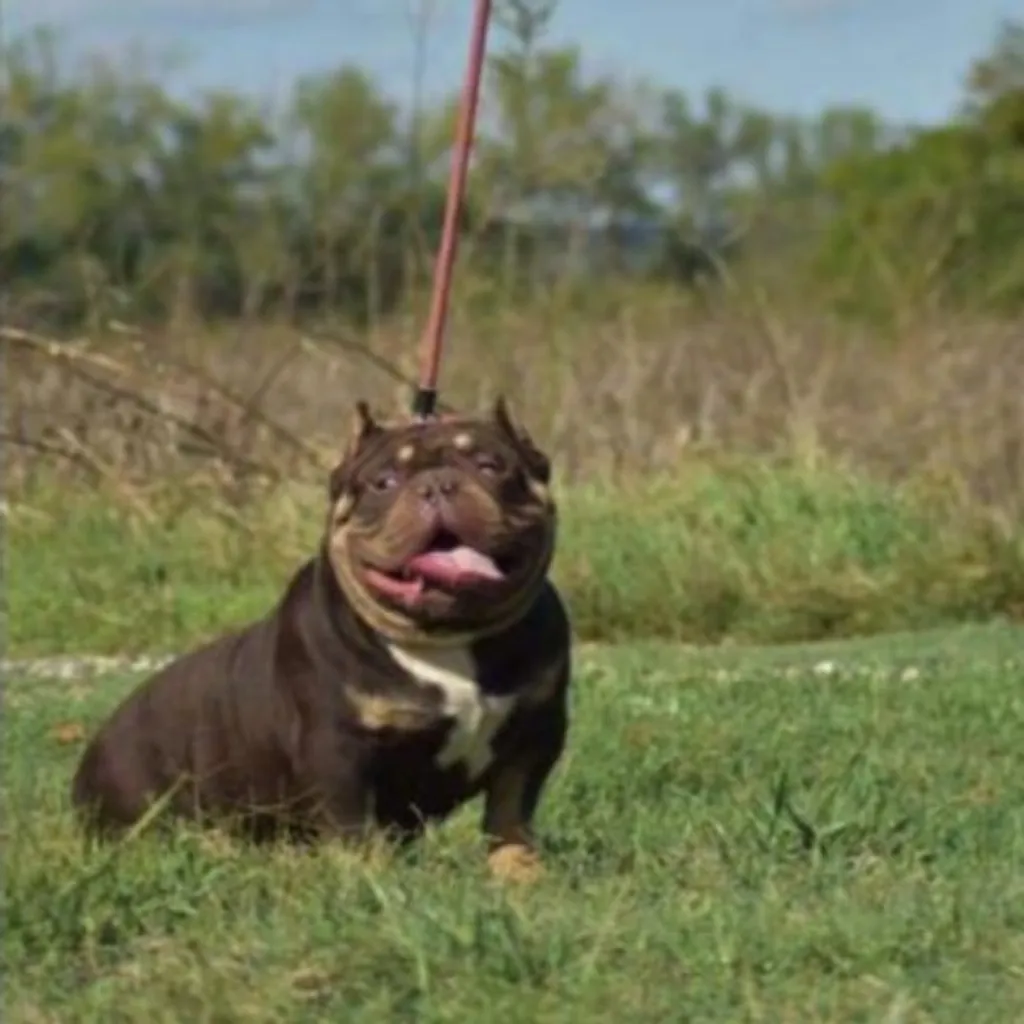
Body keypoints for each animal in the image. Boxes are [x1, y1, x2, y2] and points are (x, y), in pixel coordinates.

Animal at [70, 397, 569, 880]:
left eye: (490, 465)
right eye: (383, 482)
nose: (438, 484)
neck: (447, 637)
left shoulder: (534, 734)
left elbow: (509, 810)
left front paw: (518, 871)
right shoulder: (336, 749)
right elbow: (352, 824)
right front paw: (370, 877)